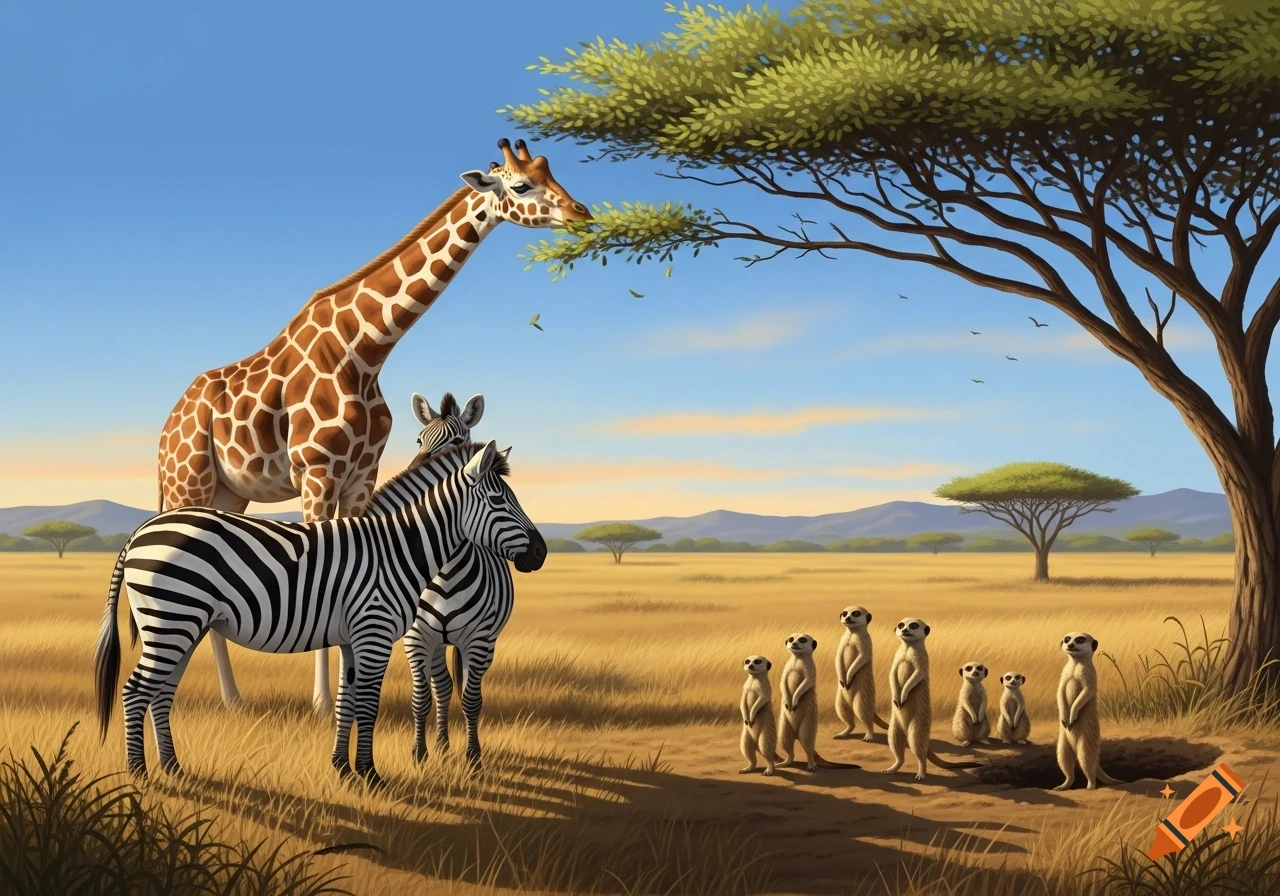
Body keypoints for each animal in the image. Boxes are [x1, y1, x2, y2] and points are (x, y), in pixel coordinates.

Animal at [94, 439, 546, 787]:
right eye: (498, 500)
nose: (540, 554)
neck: (396, 550)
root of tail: (140, 531)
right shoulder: (373, 632)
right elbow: (368, 704)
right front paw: (371, 775)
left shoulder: (352, 638)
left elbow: (347, 701)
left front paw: (343, 768)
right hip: (171, 621)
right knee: (136, 691)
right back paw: (139, 774)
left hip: (182, 626)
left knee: (161, 693)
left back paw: (173, 768)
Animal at [156, 137, 590, 715]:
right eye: (521, 185)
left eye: (552, 173)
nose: (581, 213)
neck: (362, 350)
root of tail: (169, 423)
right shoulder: (316, 472)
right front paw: (322, 703)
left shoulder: (361, 476)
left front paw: (358, 695)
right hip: (190, 482)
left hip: (232, 493)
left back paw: (233, 699)